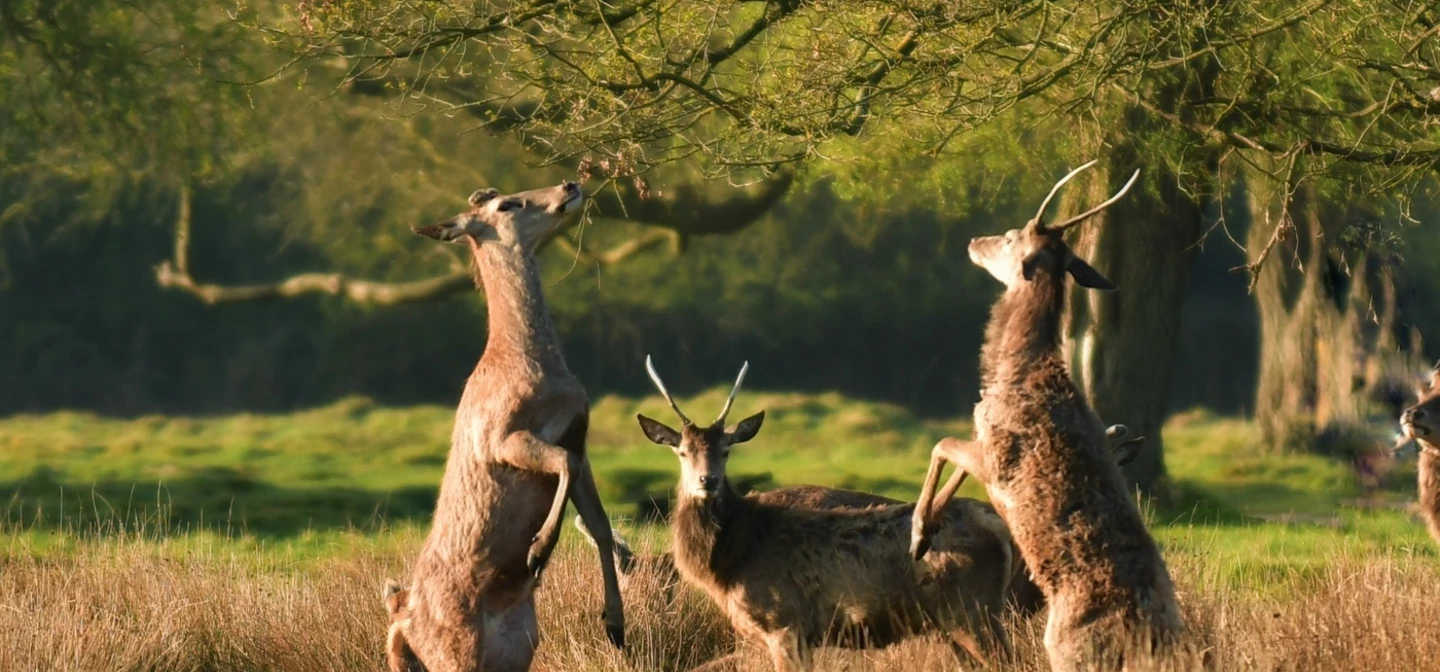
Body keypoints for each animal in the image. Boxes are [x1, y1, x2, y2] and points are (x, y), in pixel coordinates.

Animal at [383, 182, 624, 672]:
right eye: (507, 204)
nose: (569, 186)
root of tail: (401, 625)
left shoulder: (580, 437)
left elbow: (600, 521)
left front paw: (615, 623)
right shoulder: (500, 438)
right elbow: (562, 464)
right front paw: (537, 550)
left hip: (516, 650)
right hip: (457, 653)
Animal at [636, 355, 1019, 670]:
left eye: (727, 450)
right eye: (682, 452)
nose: (708, 480)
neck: (729, 564)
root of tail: (998, 525)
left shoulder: (785, 623)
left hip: (972, 610)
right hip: (955, 622)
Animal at [910, 160, 1180, 670]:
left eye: (1011, 237)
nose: (975, 240)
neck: (1011, 373)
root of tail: (1147, 637)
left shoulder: (997, 457)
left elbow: (941, 445)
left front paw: (918, 536)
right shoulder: (985, 445)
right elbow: (953, 458)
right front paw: (927, 529)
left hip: (1068, 648)